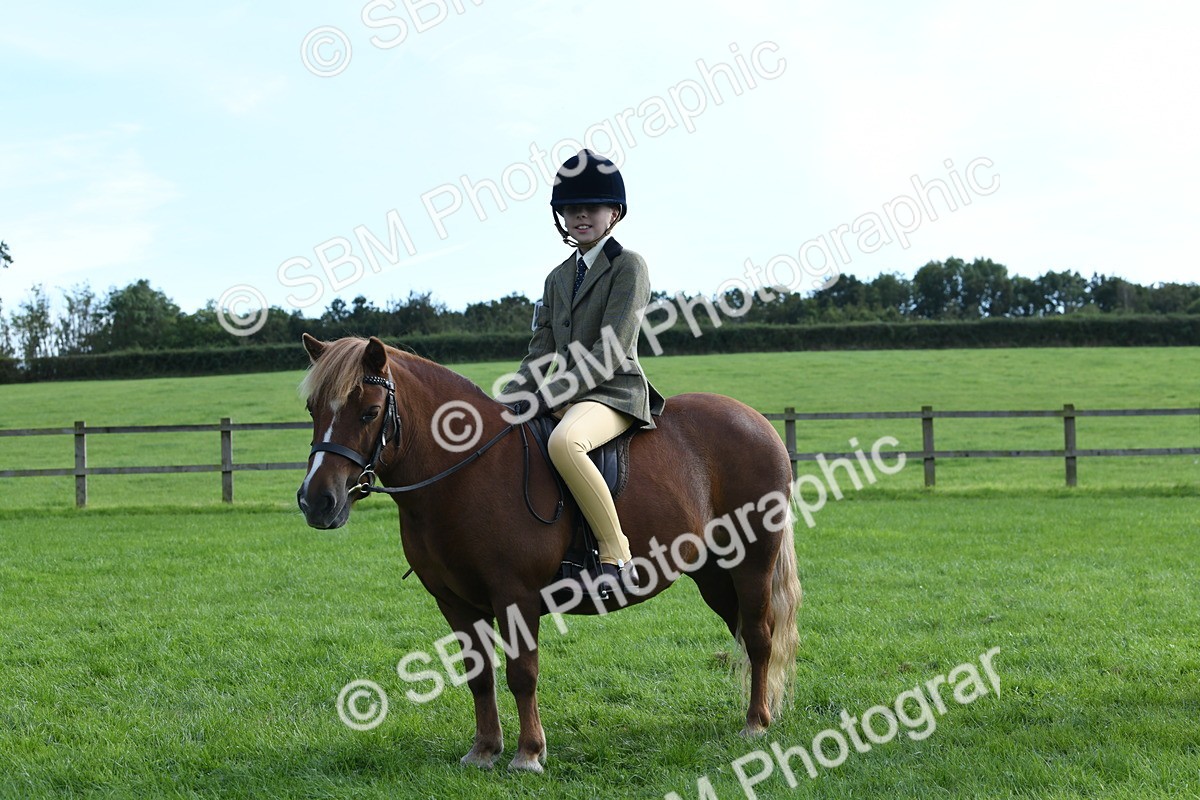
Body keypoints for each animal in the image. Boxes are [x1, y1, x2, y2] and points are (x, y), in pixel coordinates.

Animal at [296, 334, 801, 772]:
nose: (316, 501)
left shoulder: (514, 596)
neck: (462, 473)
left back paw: (756, 725)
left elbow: (522, 672)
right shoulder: (454, 602)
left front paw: (528, 754)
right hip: (714, 575)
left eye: (370, 412)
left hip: (752, 564)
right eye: (312, 408)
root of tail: (756, 420)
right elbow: (479, 675)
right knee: (744, 633)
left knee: (759, 637)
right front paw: (484, 750)